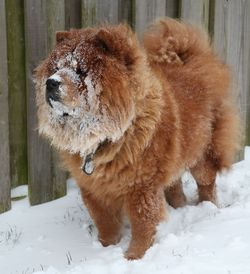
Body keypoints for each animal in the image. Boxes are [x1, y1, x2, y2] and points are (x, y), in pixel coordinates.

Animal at [34, 18, 240, 260]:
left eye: (81, 71)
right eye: (56, 69)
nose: (51, 82)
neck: (109, 138)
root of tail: (194, 63)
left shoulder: (140, 188)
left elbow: (143, 223)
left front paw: (134, 256)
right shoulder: (94, 190)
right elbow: (105, 223)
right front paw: (105, 248)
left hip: (201, 156)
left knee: (207, 183)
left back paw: (209, 209)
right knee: (175, 185)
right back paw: (179, 207)